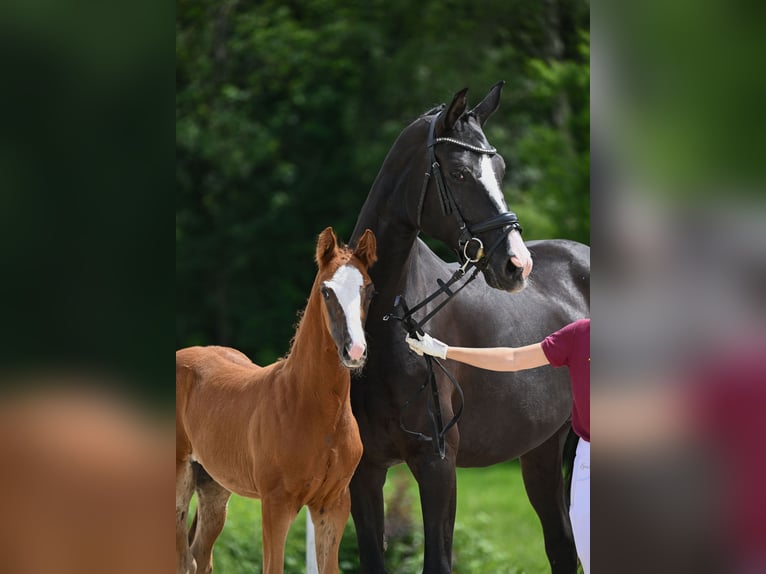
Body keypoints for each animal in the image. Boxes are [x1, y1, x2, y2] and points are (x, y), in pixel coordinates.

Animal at [352, 82, 592, 574]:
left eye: (499, 169)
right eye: (460, 173)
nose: (517, 265)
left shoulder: (437, 466)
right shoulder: (364, 474)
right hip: (542, 451)